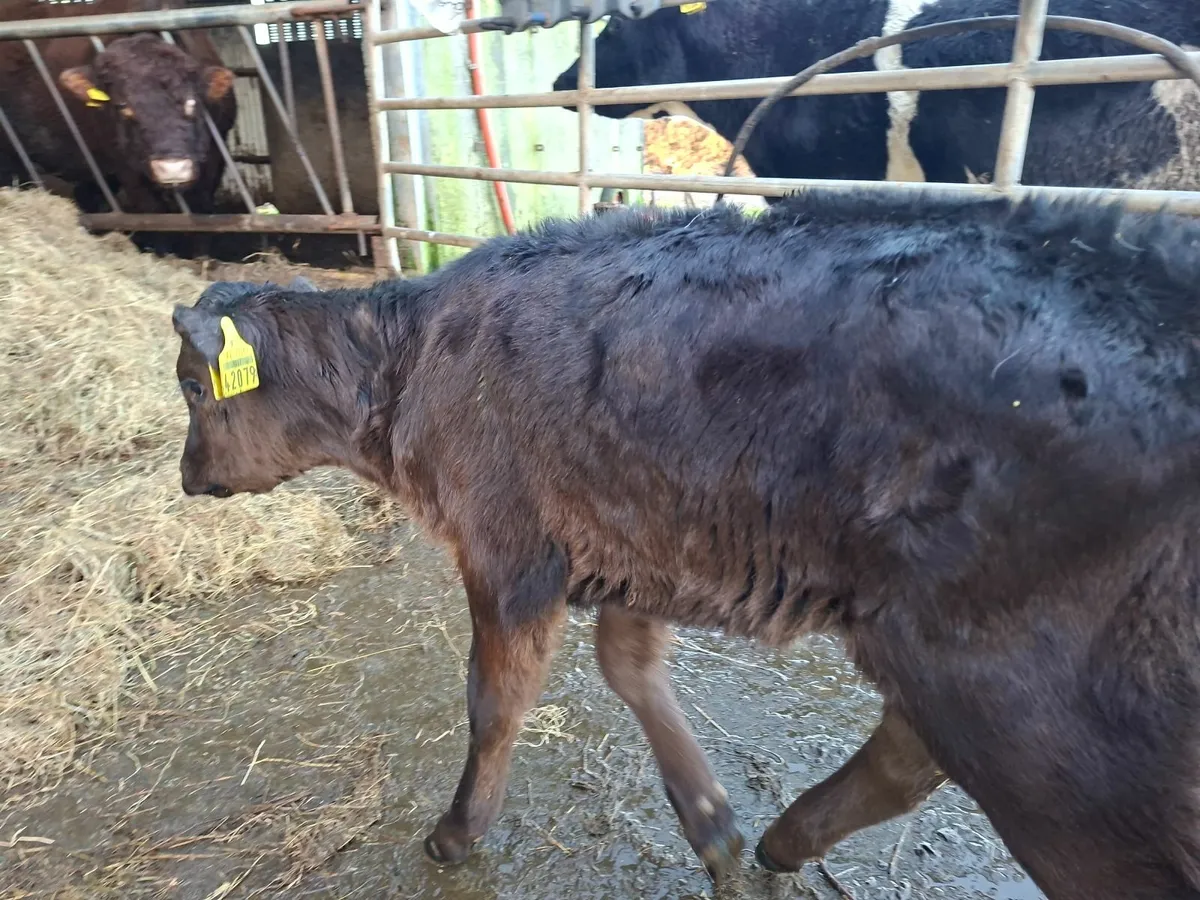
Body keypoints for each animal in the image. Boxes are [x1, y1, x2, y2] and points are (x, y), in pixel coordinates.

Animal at [0, 0, 237, 238]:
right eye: (123, 107)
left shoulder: (214, 160)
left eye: (192, 102)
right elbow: (156, 216)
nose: (173, 167)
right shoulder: (128, 171)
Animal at [171, 191, 1200, 900]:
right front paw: (711, 823)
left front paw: (458, 834)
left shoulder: (508, 547)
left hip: (1041, 723)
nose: (185, 478)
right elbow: (627, 664)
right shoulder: (634, 531)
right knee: (906, 759)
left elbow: (494, 704)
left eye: (189, 383)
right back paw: (788, 840)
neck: (411, 359)